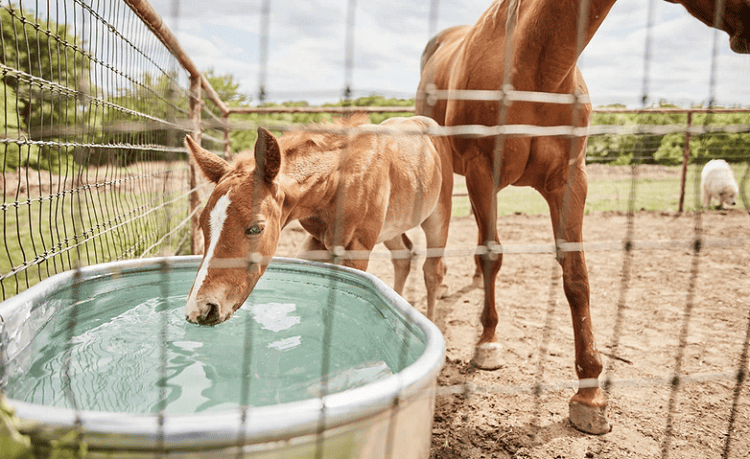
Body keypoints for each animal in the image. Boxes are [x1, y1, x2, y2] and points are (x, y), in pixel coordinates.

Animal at [185, 116, 456, 328]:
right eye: (202, 225)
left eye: (256, 228)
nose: (200, 310)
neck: (337, 181)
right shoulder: (317, 241)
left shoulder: (356, 249)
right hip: (391, 228)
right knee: (404, 257)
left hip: (438, 216)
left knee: (433, 270)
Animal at [420, 0, 748, 434]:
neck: (535, 67)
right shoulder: (481, 170)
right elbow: (494, 254)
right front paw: (487, 342)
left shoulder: (571, 179)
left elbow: (576, 276)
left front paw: (589, 394)